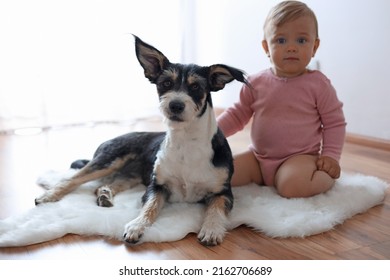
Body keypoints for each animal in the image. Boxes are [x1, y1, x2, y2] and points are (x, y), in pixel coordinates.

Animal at [34, 36, 247, 246]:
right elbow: (150, 207)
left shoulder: (223, 191)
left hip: (131, 175)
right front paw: (136, 226)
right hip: (108, 160)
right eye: (166, 83)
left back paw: (104, 195)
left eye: (196, 86)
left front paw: (211, 230)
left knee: (103, 185)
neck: (187, 142)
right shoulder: (156, 186)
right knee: (72, 179)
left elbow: (216, 209)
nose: (175, 105)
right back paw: (48, 196)